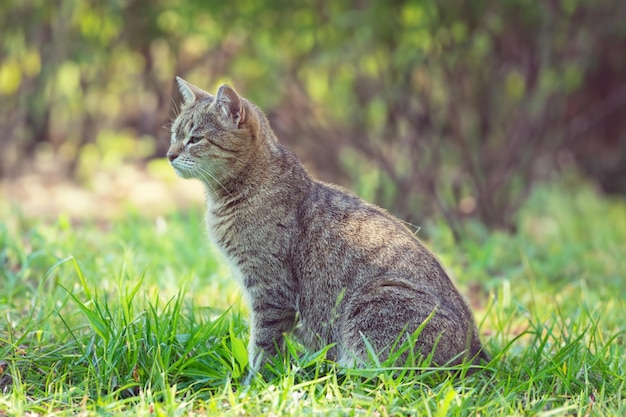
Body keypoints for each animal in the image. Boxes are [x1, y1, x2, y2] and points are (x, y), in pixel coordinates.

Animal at [166, 77, 488, 374]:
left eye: (195, 138)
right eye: (174, 135)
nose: (169, 155)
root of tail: (477, 352)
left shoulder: (271, 291)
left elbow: (263, 345)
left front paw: (253, 383)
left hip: (374, 301)